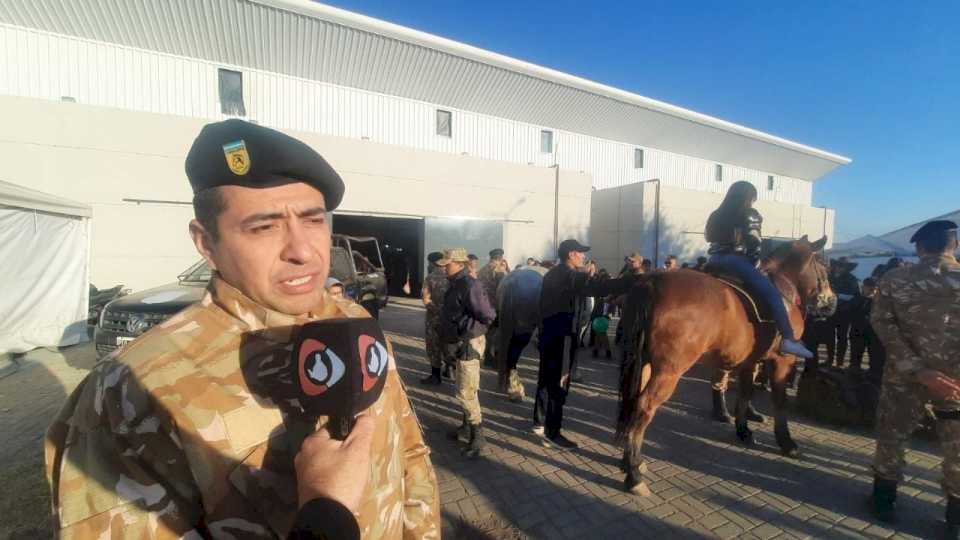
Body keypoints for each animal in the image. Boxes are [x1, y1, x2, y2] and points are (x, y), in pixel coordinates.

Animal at [616, 234, 832, 496]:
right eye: (823, 265)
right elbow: (779, 401)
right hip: (668, 371)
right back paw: (634, 475)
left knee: (633, 404)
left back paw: (632, 463)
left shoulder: (750, 361)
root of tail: (652, 282)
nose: (831, 302)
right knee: (644, 406)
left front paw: (744, 430)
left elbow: (745, 394)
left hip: (645, 364)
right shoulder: (782, 362)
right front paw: (787, 442)